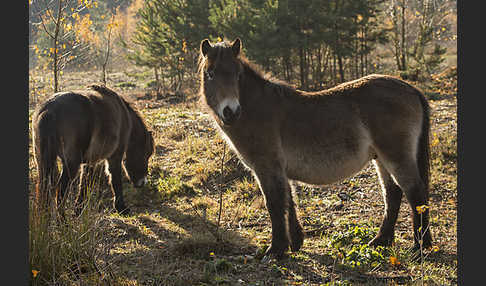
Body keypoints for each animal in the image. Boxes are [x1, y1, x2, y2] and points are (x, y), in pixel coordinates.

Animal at [33, 85, 154, 214]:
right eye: (146, 154)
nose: (143, 182)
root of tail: (49, 111)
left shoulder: (90, 162)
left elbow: (85, 183)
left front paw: (78, 210)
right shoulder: (115, 156)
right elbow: (115, 179)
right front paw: (121, 208)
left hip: (43, 161)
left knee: (44, 187)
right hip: (71, 164)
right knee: (61, 189)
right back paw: (62, 218)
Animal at [197, 38, 432, 260]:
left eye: (237, 75)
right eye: (210, 74)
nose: (231, 112)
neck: (257, 109)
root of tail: (410, 89)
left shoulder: (267, 167)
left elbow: (275, 204)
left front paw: (275, 250)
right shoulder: (280, 169)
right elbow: (289, 201)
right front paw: (295, 243)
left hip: (396, 156)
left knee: (415, 193)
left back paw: (420, 248)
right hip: (381, 159)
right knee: (392, 193)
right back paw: (381, 240)